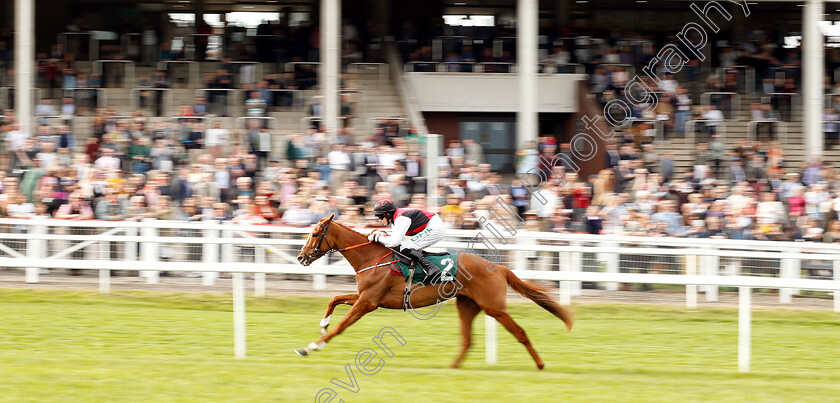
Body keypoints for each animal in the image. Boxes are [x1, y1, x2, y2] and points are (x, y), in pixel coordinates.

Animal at [292, 215, 576, 370]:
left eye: (315, 233)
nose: (301, 257)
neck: (371, 257)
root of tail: (498, 267)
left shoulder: (368, 302)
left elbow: (342, 325)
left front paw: (309, 347)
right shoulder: (365, 297)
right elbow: (334, 299)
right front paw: (322, 325)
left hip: (493, 307)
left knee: (520, 332)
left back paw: (540, 365)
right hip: (467, 304)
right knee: (468, 340)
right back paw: (451, 368)